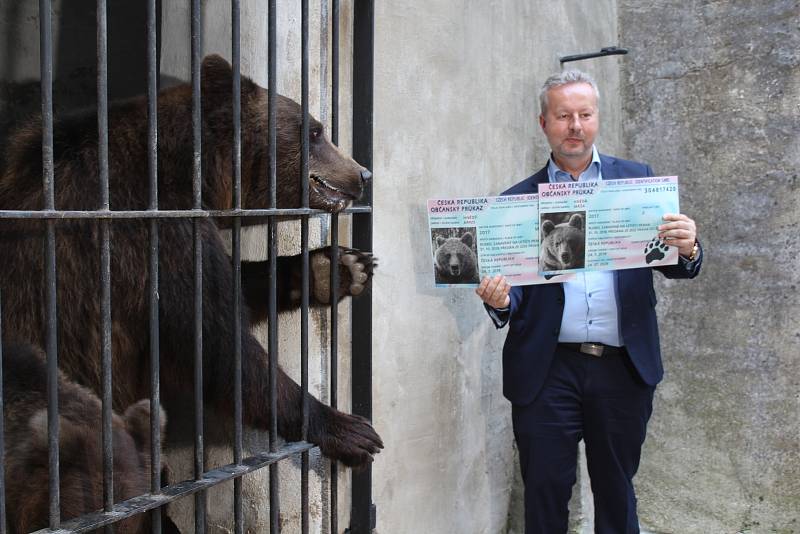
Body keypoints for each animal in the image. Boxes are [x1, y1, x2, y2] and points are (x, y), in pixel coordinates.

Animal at [0, 55, 382, 468]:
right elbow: (215, 342)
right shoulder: (150, 233)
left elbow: (234, 286)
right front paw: (348, 428)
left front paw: (339, 268)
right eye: (314, 131)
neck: (194, 173)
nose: (363, 173)